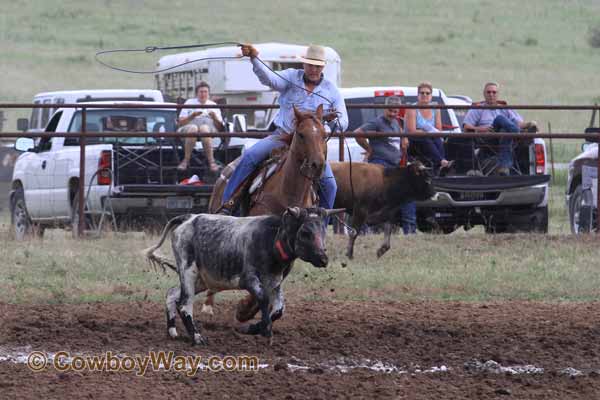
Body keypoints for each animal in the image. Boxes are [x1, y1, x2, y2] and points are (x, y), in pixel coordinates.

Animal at [203, 104, 328, 320]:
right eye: (301, 134)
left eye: (324, 134)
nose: (317, 164)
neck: (288, 194)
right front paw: (244, 309)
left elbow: (278, 277)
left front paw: (251, 309)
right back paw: (208, 305)